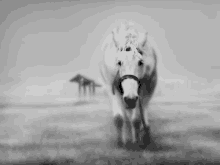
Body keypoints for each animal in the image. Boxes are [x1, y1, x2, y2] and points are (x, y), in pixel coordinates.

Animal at [99, 21, 157, 150]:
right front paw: (121, 142)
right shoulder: (112, 88)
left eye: (140, 62)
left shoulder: (143, 90)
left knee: (142, 110)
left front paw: (136, 142)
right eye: (119, 62)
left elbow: (136, 119)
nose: (130, 98)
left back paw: (145, 133)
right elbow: (119, 118)